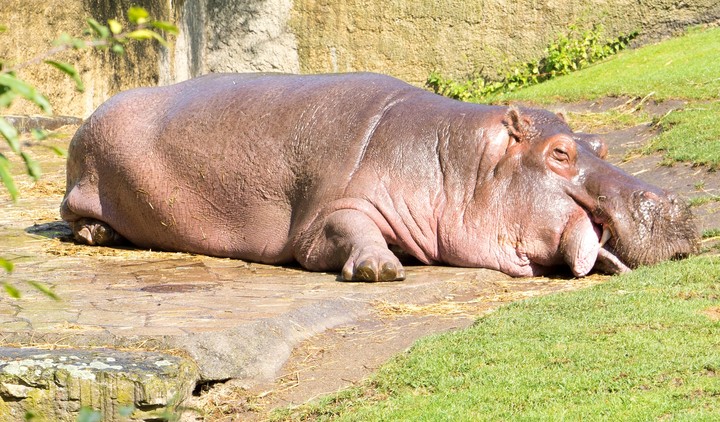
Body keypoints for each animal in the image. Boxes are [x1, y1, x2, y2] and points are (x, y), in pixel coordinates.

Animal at [60, 73, 699, 281]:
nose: (675, 203)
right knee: (76, 219)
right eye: (560, 153)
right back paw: (97, 234)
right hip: (81, 184)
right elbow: (349, 230)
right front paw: (382, 269)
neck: (457, 160)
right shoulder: (328, 211)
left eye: (599, 143)